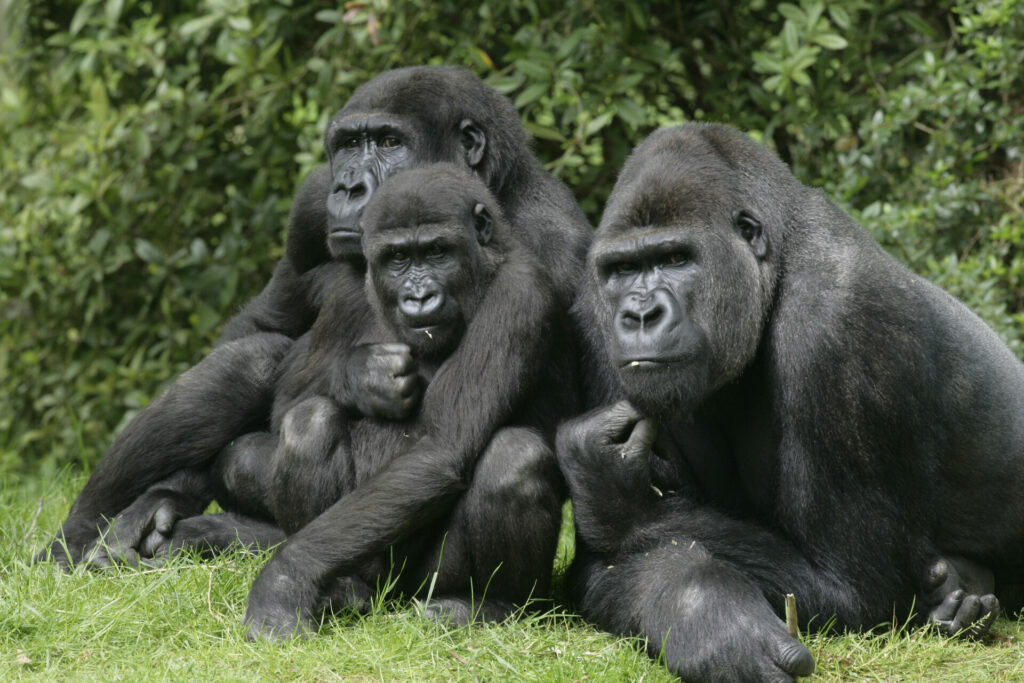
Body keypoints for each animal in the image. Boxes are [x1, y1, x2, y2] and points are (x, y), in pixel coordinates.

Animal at [37, 65, 593, 565]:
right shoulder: (308, 202)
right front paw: (165, 496)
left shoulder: (558, 243)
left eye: (389, 142)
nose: (347, 187)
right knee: (252, 360)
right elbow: (264, 326)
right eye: (349, 144)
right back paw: (85, 531)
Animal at [561, 124, 1015, 683]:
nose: (639, 315)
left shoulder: (839, 322)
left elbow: (853, 590)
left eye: (675, 259)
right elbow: (599, 568)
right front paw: (699, 609)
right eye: (622, 269)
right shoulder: (588, 308)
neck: (777, 259)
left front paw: (618, 500)